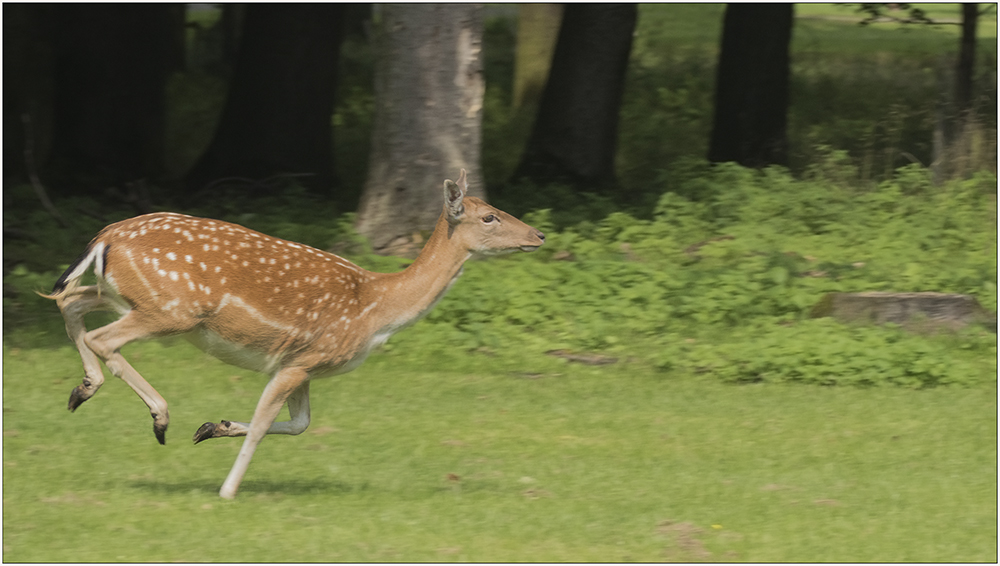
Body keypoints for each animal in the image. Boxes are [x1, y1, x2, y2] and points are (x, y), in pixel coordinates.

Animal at [45, 171, 548, 500]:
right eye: (489, 217)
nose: (539, 235)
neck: (376, 310)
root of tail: (106, 235)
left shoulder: (302, 364)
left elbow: (300, 424)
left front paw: (212, 427)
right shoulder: (302, 359)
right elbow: (264, 425)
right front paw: (227, 491)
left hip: (128, 296)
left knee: (69, 299)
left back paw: (82, 390)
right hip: (173, 310)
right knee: (102, 336)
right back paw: (159, 417)